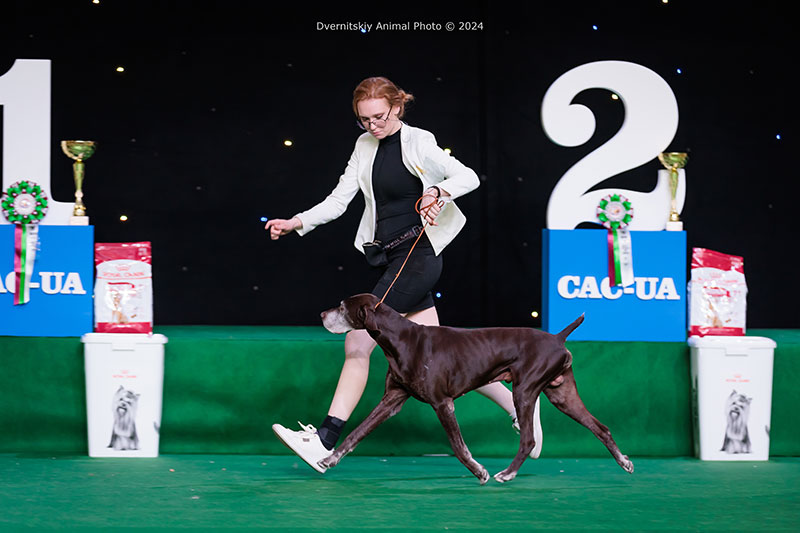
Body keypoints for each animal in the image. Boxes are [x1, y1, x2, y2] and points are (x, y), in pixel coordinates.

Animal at [319, 293, 633, 484]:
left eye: (343, 307)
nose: (322, 313)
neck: (402, 340)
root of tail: (558, 338)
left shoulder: (442, 403)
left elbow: (458, 447)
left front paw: (479, 471)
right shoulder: (391, 400)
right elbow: (356, 434)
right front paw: (328, 459)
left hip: (524, 391)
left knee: (529, 439)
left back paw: (507, 473)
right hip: (563, 396)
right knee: (601, 428)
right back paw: (624, 462)